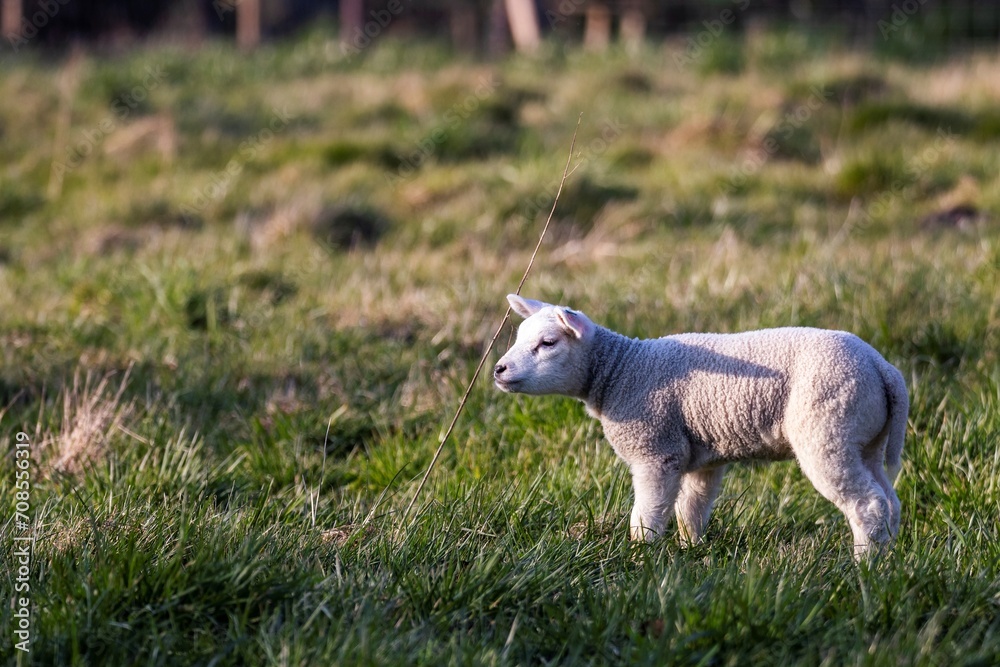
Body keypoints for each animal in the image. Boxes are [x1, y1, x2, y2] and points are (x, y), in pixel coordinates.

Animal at [493, 294, 908, 559]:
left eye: (548, 343)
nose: (498, 369)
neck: (620, 371)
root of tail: (882, 368)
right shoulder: (701, 457)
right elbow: (691, 509)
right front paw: (690, 551)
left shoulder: (656, 450)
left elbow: (648, 512)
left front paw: (639, 555)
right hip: (866, 438)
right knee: (889, 499)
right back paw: (887, 561)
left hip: (826, 429)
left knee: (867, 502)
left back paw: (862, 565)